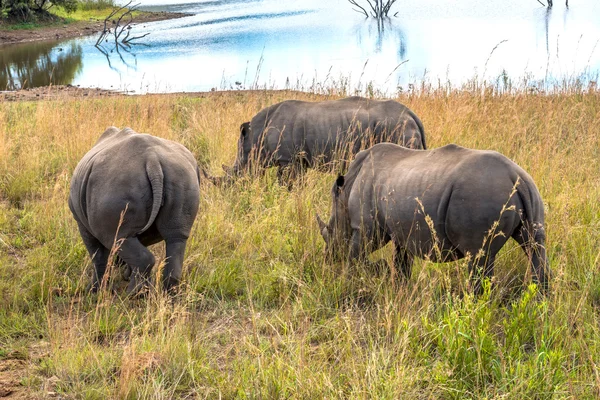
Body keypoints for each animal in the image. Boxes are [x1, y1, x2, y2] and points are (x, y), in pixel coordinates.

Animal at [67, 127, 199, 294]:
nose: (120, 267)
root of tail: (153, 161)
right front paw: (131, 277)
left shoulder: (81, 222)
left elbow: (98, 256)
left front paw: (94, 290)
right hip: (182, 177)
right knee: (176, 237)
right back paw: (166, 293)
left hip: (115, 186)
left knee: (117, 237)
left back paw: (131, 294)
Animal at [225, 96, 426, 179]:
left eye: (237, 171)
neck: (256, 136)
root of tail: (411, 115)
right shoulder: (297, 161)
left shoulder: (287, 159)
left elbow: (286, 183)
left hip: (397, 127)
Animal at [318, 142, 548, 292]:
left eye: (329, 232)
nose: (329, 257)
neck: (346, 191)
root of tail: (517, 176)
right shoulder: (402, 230)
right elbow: (401, 264)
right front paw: (399, 289)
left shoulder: (365, 228)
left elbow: (355, 257)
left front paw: (359, 277)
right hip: (532, 195)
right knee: (535, 247)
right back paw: (539, 305)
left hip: (482, 194)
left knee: (478, 258)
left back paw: (473, 309)